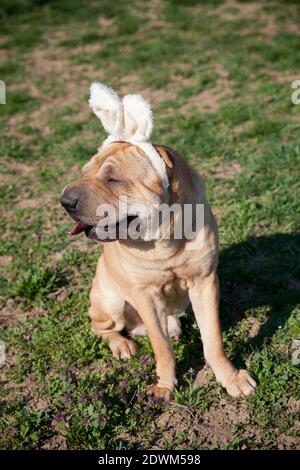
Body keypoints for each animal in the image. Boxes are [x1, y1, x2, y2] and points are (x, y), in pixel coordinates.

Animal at [60, 83, 255, 400]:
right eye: (85, 172)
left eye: (113, 179)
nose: (64, 201)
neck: (164, 239)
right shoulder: (145, 295)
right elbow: (161, 347)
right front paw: (164, 386)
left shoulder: (204, 282)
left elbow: (212, 339)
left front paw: (231, 378)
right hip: (110, 301)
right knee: (102, 328)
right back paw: (123, 345)